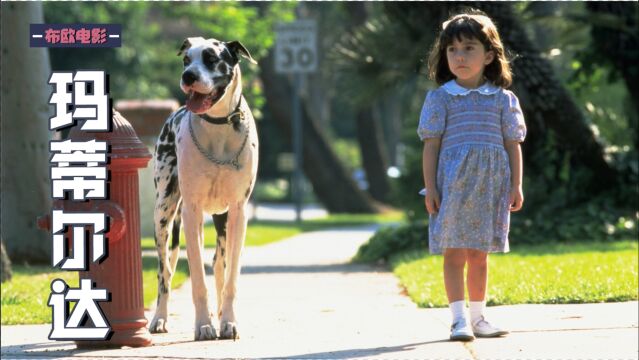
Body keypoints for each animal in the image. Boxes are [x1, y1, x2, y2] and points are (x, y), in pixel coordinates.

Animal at [149, 38, 258, 342]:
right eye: (186, 60)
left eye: (211, 58)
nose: (188, 76)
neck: (219, 128)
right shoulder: (191, 213)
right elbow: (197, 278)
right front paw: (203, 324)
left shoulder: (239, 213)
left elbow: (230, 277)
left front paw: (228, 321)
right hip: (163, 216)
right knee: (165, 273)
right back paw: (159, 318)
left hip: (223, 221)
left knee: (220, 264)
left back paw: (220, 313)